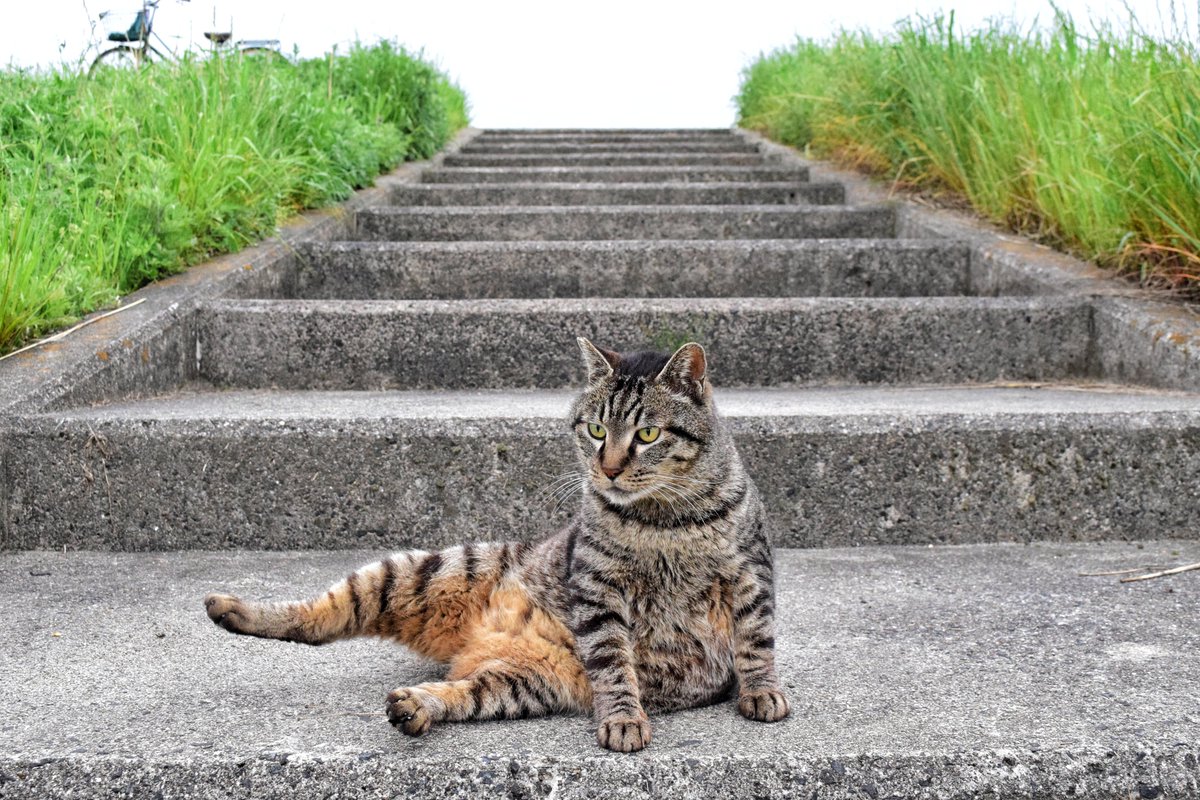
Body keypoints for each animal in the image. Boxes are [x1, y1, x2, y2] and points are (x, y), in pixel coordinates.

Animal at [206, 340, 787, 753]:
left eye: (647, 435)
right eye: (596, 429)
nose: (608, 469)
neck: (662, 521)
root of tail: (471, 642)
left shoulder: (750, 574)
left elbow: (755, 642)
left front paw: (761, 692)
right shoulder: (597, 588)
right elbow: (614, 662)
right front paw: (624, 718)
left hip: (525, 681)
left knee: (460, 692)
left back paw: (417, 706)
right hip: (426, 570)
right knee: (317, 616)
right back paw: (231, 609)